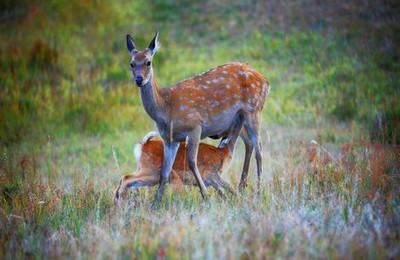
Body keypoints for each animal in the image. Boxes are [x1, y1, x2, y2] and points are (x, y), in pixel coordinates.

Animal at [126, 31, 270, 203]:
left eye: (148, 62)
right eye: (131, 63)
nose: (139, 80)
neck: (165, 110)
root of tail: (265, 81)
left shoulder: (195, 126)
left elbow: (191, 162)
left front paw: (205, 195)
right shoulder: (169, 139)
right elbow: (164, 173)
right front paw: (156, 203)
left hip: (254, 109)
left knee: (259, 149)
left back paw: (258, 193)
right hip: (238, 118)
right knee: (249, 144)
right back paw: (242, 187)